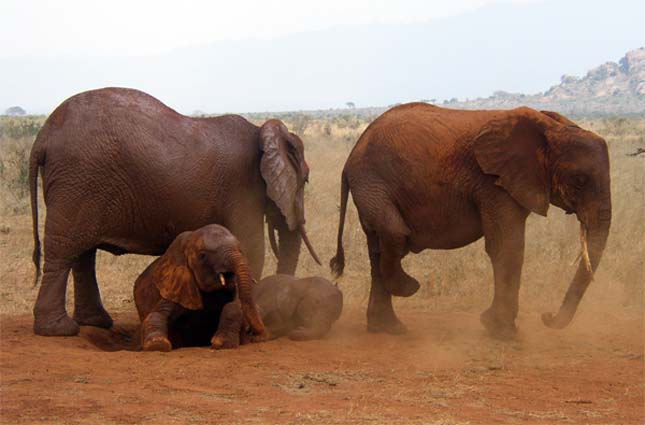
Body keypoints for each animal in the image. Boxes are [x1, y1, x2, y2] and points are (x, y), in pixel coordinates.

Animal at [27, 88, 320, 336]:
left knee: (82, 253)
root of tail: (43, 137)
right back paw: (58, 330)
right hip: (78, 180)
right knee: (64, 249)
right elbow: (250, 246)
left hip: (80, 186)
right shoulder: (243, 188)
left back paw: (95, 323)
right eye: (305, 180)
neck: (260, 131)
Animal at [330, 103, 612, 338]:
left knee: (377, 247)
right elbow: (507, 247)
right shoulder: (492, 183)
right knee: (396, 235)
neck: (552, 128)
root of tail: (351, 156)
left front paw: (496, 327)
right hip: (372, 183)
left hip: (371, 186)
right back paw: (409, 288)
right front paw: (502, 332)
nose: (547, 316)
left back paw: (389, 328)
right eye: (580, 181)